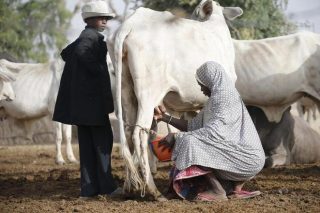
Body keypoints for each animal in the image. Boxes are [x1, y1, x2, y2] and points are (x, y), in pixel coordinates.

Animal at [110, 0, 242, 200]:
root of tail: (130, 24)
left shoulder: (187, 107)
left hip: (126, 91)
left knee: (128, 132)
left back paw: (130, 187)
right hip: (148, 93)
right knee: (139, 133)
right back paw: (153, 190)